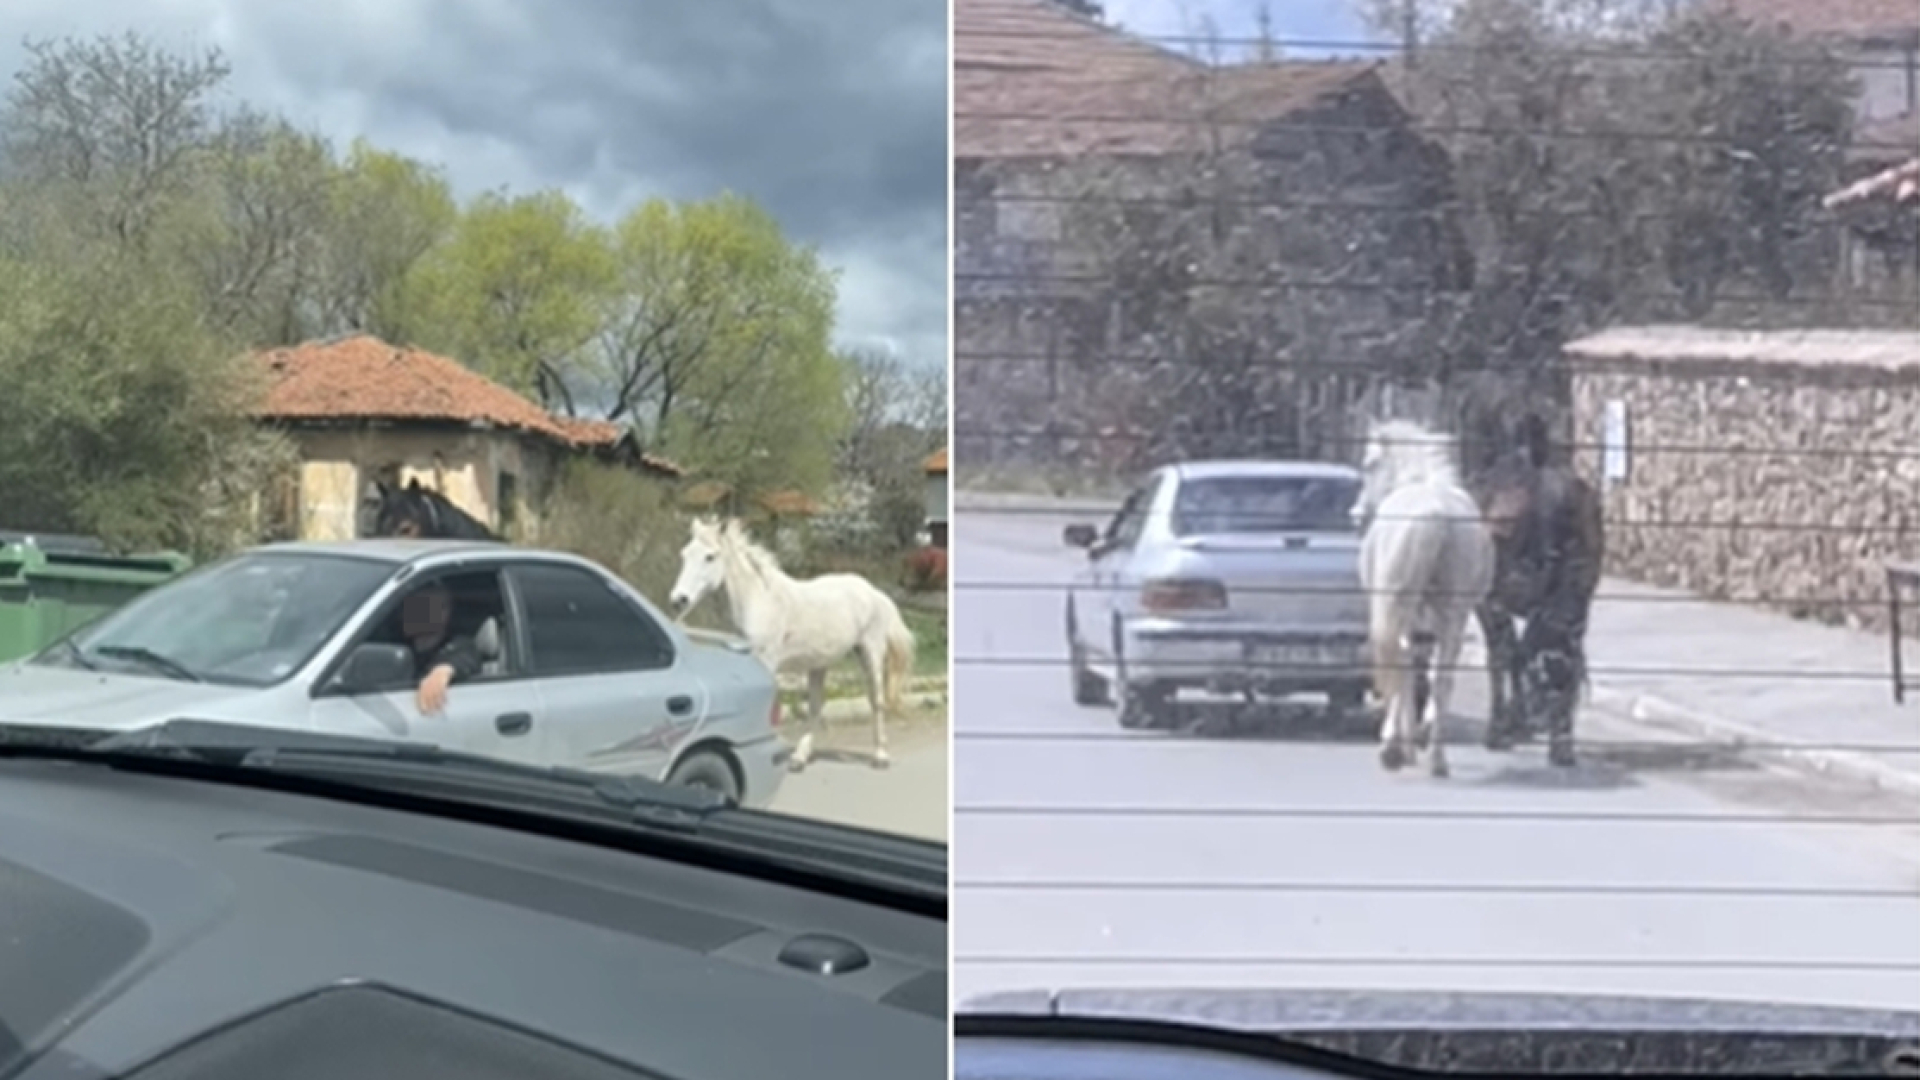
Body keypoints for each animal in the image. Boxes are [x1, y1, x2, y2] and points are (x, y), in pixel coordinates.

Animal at [672, 518, 917, 768]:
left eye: (710, 556)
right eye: (684, 554)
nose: (679, 599)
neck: (761, 601)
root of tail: (874, 592)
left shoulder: (767, 662)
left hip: (871, 654)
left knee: (876, 700)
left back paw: (880, 755)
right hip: (819, 664)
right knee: (816, 706)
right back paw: (799, 757)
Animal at [1344, 417, 1489, 776]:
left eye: (1369, 463)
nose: (1356, 514)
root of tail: (1435, 516)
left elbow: (1405, 666)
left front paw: (1401, 743)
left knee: (1402, 663)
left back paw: (1395, 750)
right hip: (1453, 615)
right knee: (1442, 677)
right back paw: (1436, 758)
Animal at [1466, 411, 1605, 764]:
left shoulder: (1490, 601)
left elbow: (1505, 654)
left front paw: (1511, 724)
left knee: (1512, 652)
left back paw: (1505, 729)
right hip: (1575, 597)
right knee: (1563, 655)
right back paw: (1561, 743)